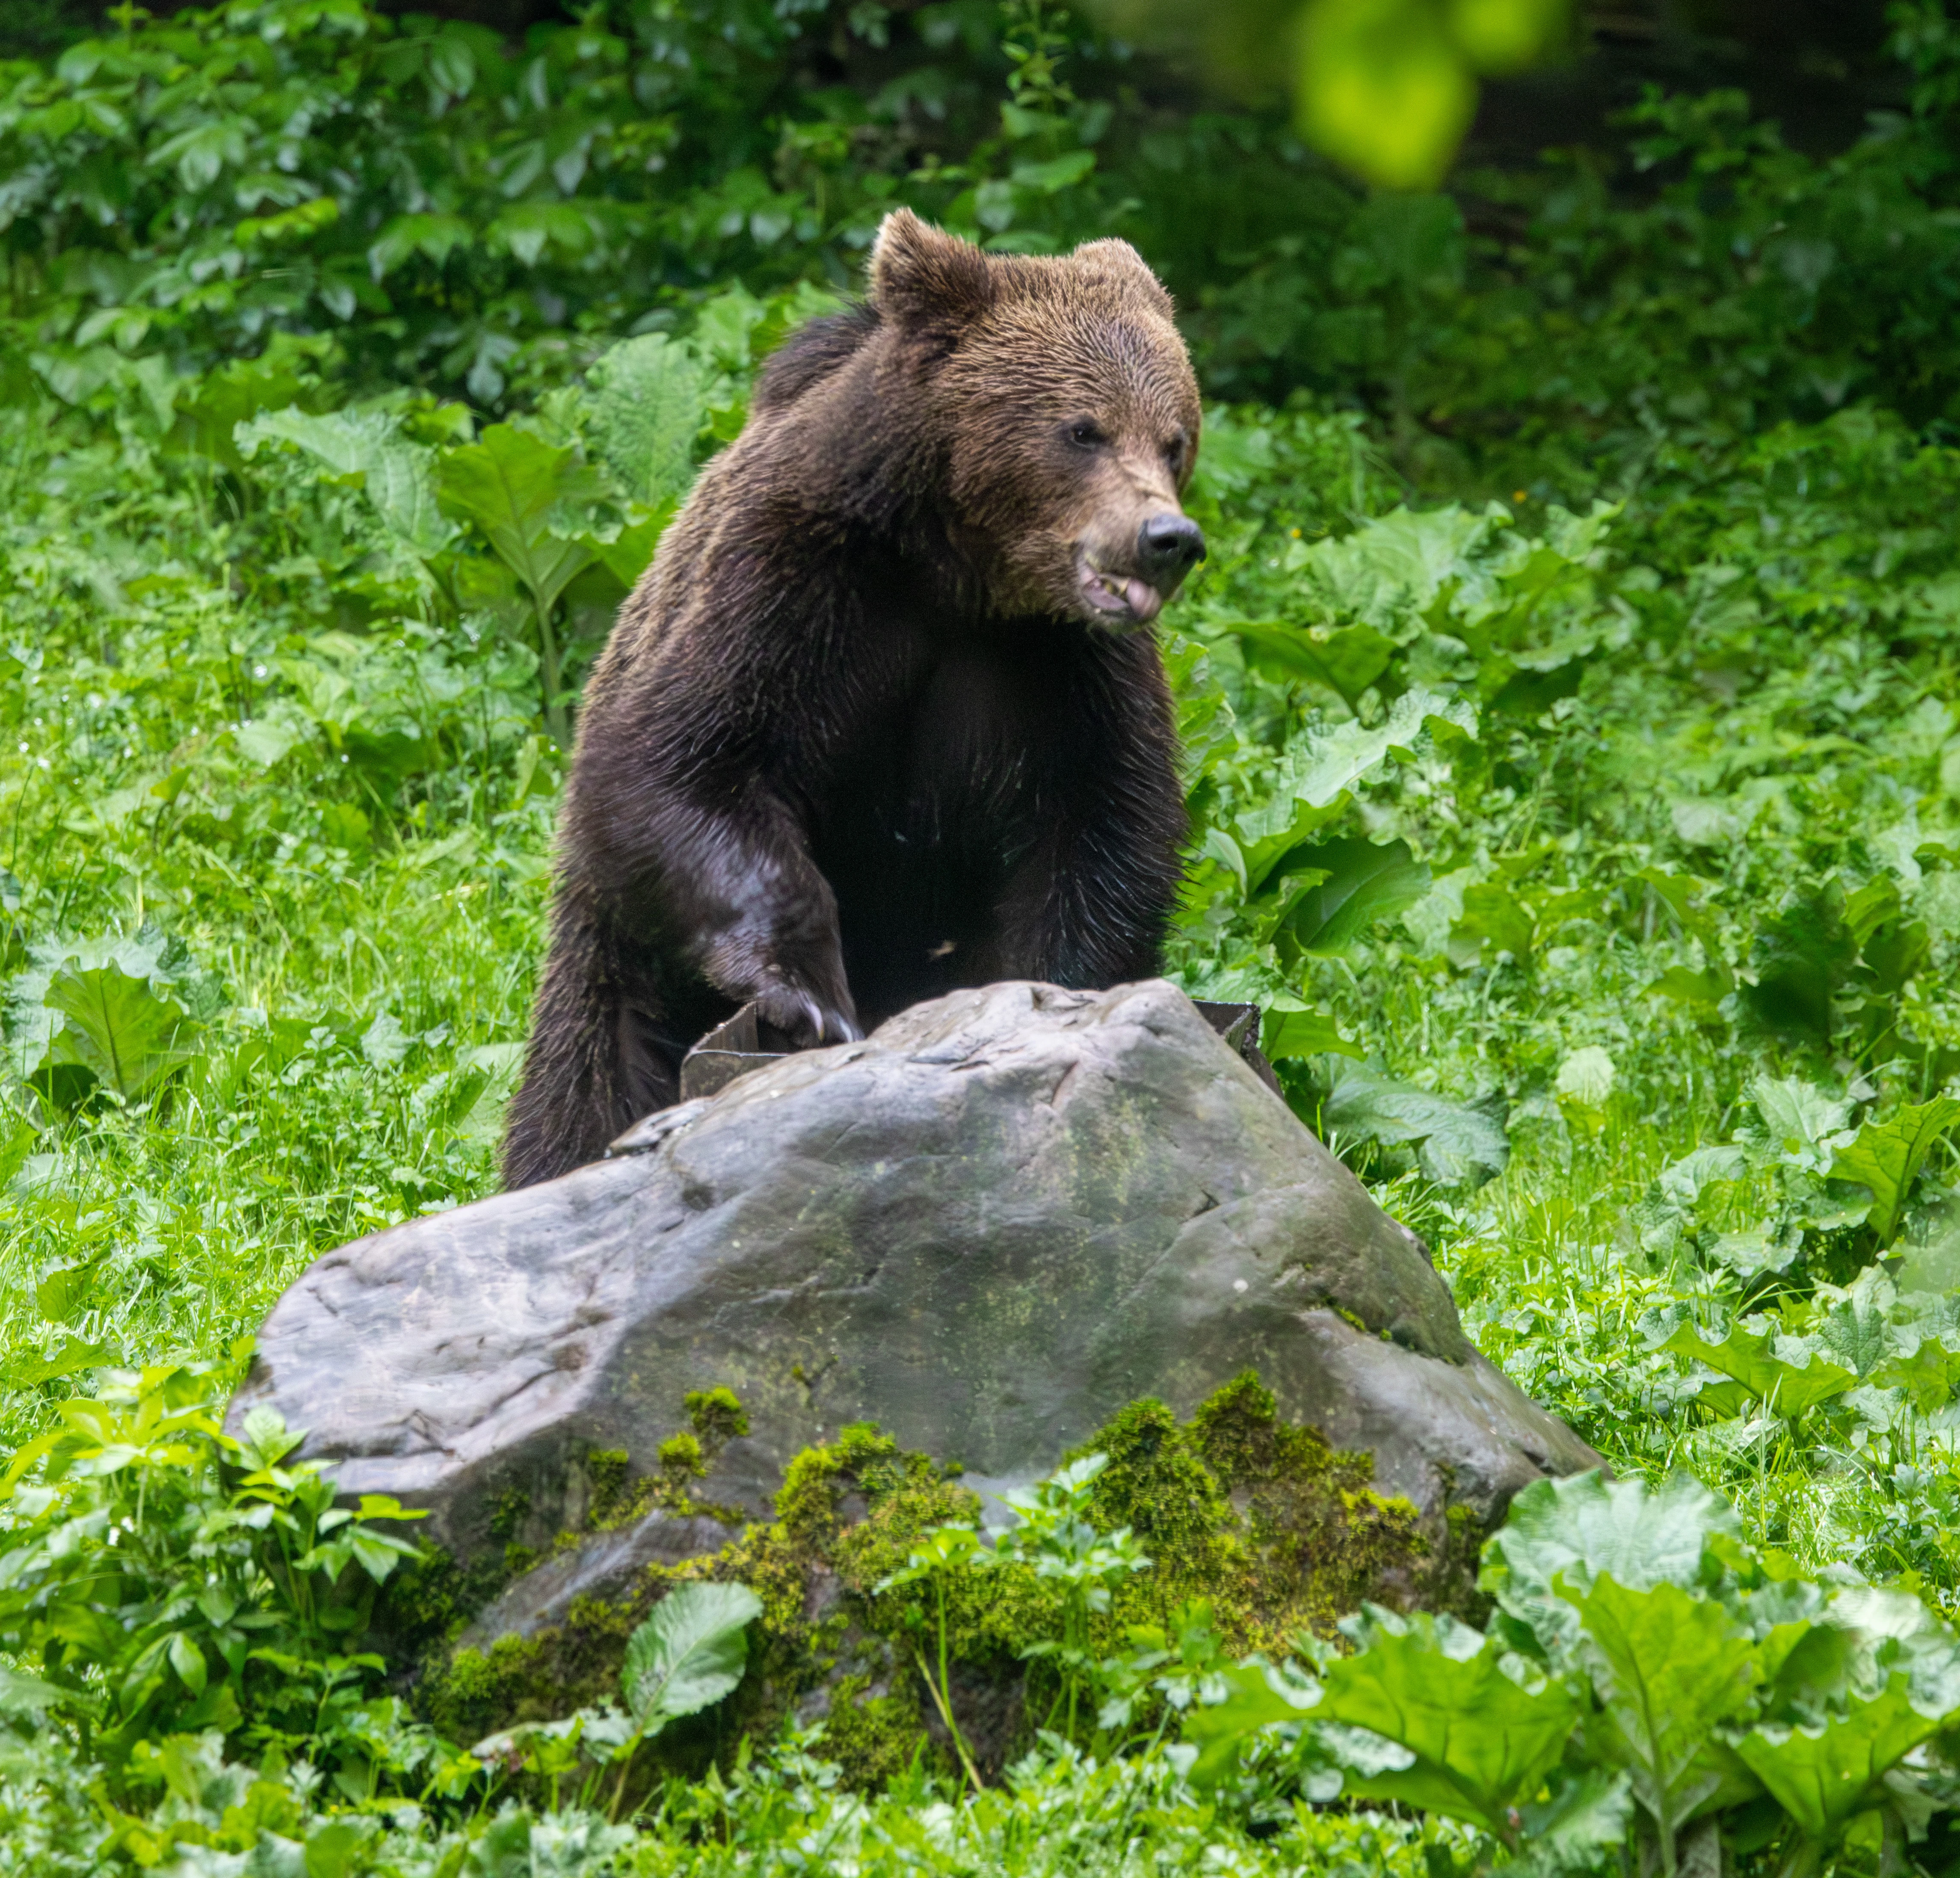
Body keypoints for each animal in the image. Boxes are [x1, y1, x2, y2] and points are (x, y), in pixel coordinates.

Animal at [500, 209, 1206, 1190]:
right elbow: (678, 763)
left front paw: (1040, 1004)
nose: (1164, 537)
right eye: (1082, 430)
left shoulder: (1064, 668)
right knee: (587, 1080)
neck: (956, 571)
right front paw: (808, 995)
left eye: (1174, 436)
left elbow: (1105, 824)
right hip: (615, 958)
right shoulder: (789, 586)